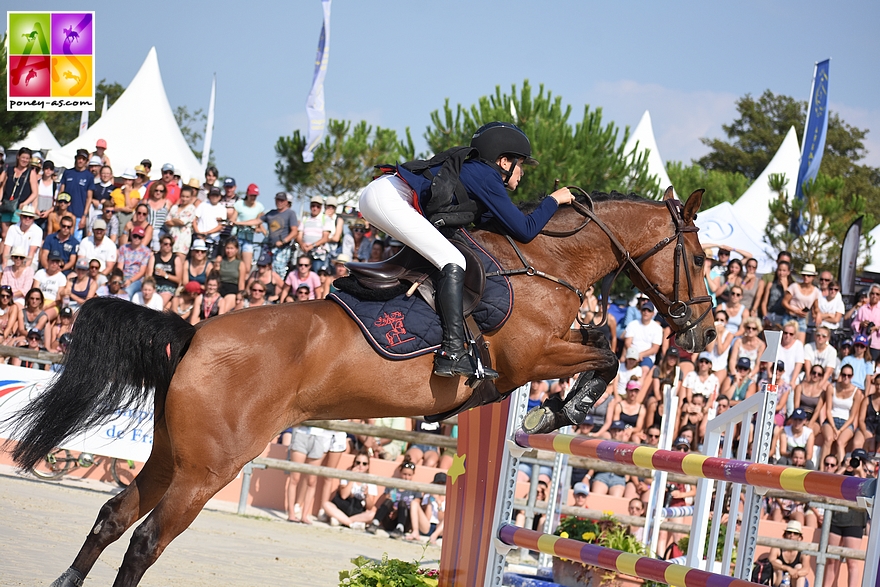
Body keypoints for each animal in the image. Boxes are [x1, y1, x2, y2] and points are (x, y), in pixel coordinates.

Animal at [5, 187, 716, 584]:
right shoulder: (530, 358)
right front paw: (559, 411)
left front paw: (562, 407)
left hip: (171, 455)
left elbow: (605, 349)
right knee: (146, 541)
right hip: (207, 471)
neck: (545, 262)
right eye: (704, 257)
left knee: (113, 517)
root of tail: (195, 334)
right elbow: (609, 355)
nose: (705, 329)